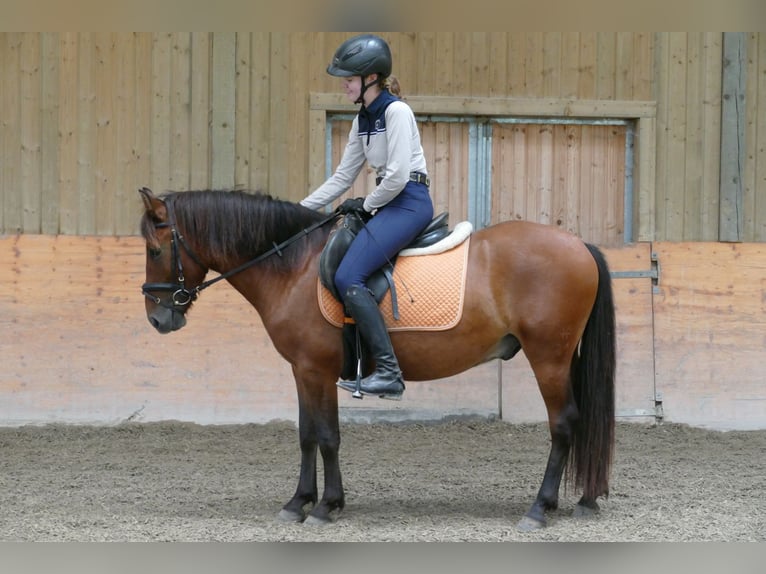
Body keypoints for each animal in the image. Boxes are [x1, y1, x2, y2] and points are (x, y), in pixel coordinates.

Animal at [138, 187, 616, 532]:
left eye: (156, 250)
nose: (158, 319)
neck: (294, 267)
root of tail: (580, 244)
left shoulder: (317, 370)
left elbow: (328, 436)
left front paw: (325, 506)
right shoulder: (301, 370)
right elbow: (307, 435)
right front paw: (299, 502)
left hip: (549, 357)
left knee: (564, 424)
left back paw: (539, 508)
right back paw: (584, 500)